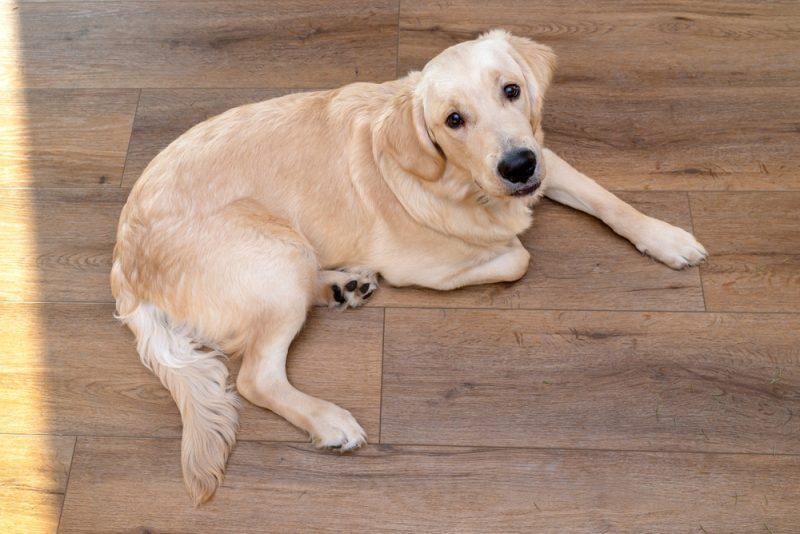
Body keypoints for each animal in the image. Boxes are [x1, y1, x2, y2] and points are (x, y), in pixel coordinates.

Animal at [111, 30, 708, 506]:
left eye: (511, 90)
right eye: (453, 120)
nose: (517, 166)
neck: (464, 184)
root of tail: (123, 267)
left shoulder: (548, 157)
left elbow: (608, 200)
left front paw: (666, 236)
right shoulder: (425, 264)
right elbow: (518, 255)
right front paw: (510, 236)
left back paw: (342, 285)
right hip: (277, 257)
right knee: (257, 377)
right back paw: (329, 418)